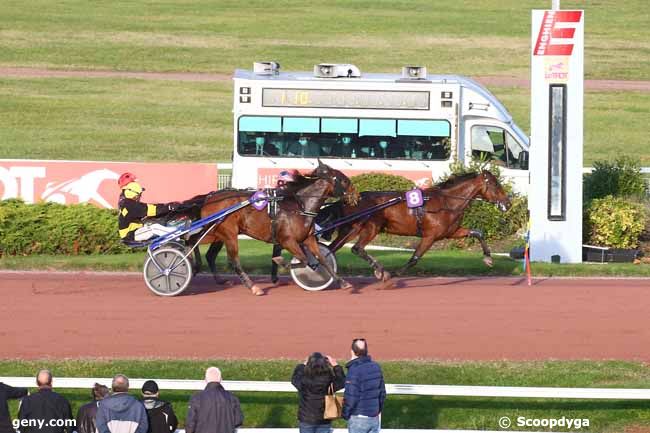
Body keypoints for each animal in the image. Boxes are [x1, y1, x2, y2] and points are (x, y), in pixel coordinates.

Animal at [199, 160, 356, 296]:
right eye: (344, 180)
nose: (356, 196)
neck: (300, 207)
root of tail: (209, 198)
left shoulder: (308, 239)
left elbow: (322, 259)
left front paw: (342, 282)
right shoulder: (287, 240)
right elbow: (303, 260)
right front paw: (281, 262)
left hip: (218, 234)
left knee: (210, 254)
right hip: (229, 233)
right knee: (234, 261)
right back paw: (253, 287)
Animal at [322, 170, 506, 282]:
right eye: (495, 185)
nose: (508, 202)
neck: (446, 202)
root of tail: (350, 200)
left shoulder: (451, 232)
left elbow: (477, 233)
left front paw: (488, 258)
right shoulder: (430, 236)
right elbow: (414, 258)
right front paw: (395, 273)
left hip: (350, 229)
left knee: (331, 249)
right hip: (370, 227)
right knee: (357, 248)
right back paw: (381, 271)